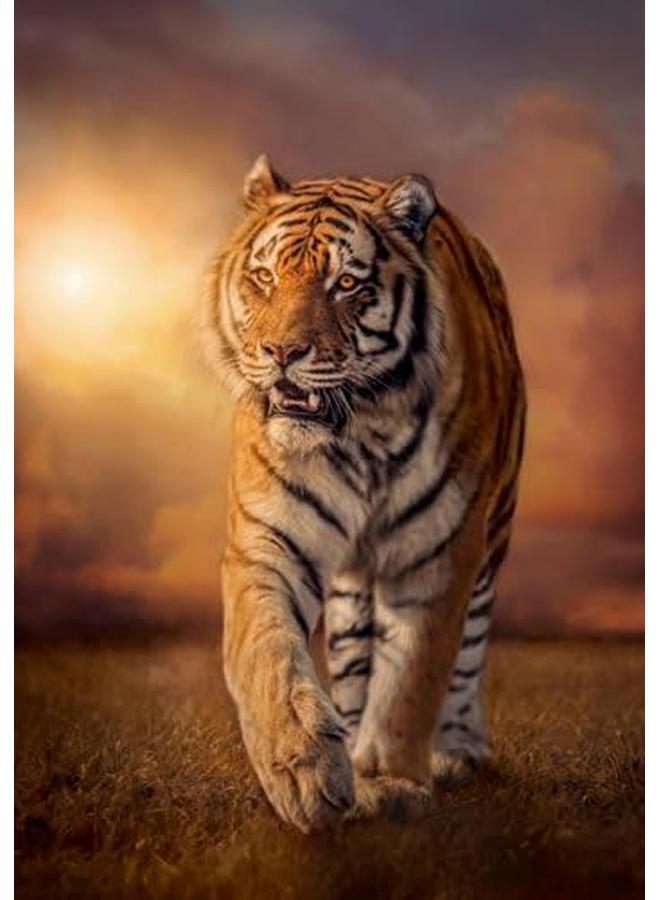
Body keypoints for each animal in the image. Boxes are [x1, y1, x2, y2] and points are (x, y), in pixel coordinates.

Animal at [201, 154, 526, 833]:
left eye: (347, 284)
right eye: (265, 277)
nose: (282, 353)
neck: (360, 436)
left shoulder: (439, 554)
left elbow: (412, 679)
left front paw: (391, 781)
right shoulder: (266, 540)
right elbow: (267, 652)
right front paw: (304, 771)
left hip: (494, 536)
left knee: (469, 650)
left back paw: (457, 750)